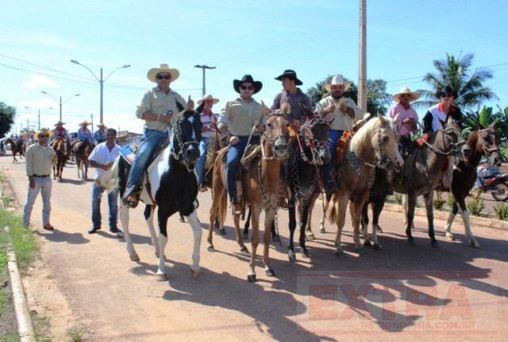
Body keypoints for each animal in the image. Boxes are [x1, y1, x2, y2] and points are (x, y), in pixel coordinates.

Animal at [98, 111, 201, 280]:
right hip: (124, 195)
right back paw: (133, 253)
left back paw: (158, 251)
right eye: (180, 124)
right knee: (124, 220)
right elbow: (164, 237)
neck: (177, 173)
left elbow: (198, 232)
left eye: (200, 124)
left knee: (147, 216)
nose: (193, 152)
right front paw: (161, 270)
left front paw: (195, 266)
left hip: (151, 201)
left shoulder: (188, 207)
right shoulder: (163, 210)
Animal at [207, 113, 290, 282]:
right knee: (212, 214)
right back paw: (210, 243)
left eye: (287, 124)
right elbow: (255, 239)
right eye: (269, 124)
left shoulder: (271, 208)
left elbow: (266, 238)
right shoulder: (256, 208)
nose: (281, 147)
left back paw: (241, 245)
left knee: (235, 216)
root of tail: (220, 152)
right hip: (218, 188)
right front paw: (251, 271)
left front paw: (267, 266)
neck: (267, 174)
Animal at [288, 115, 332, 262]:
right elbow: (292, 223)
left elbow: (303, 220)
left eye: (328, 130)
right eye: (311, 129)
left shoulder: (307, 195)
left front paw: (303, 248)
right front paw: (291, 251)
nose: (324, 157)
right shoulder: (291, 195)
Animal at [326, 116, 404, 255]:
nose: (400, 162)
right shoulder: (344, 193)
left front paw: (358, 244)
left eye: (397, 137)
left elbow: (359, 220)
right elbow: (341, 220)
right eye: (385, 138)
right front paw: (339, 248)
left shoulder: (362, 196)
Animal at [392, 116, 468, 247]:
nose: (466, 149)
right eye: (450, 133)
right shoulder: (412, 192)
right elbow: (411, 213)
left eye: (460, 130)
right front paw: (409, 235)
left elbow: (430, 215)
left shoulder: (428, 193)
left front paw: (433, 237)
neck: (426, 163)